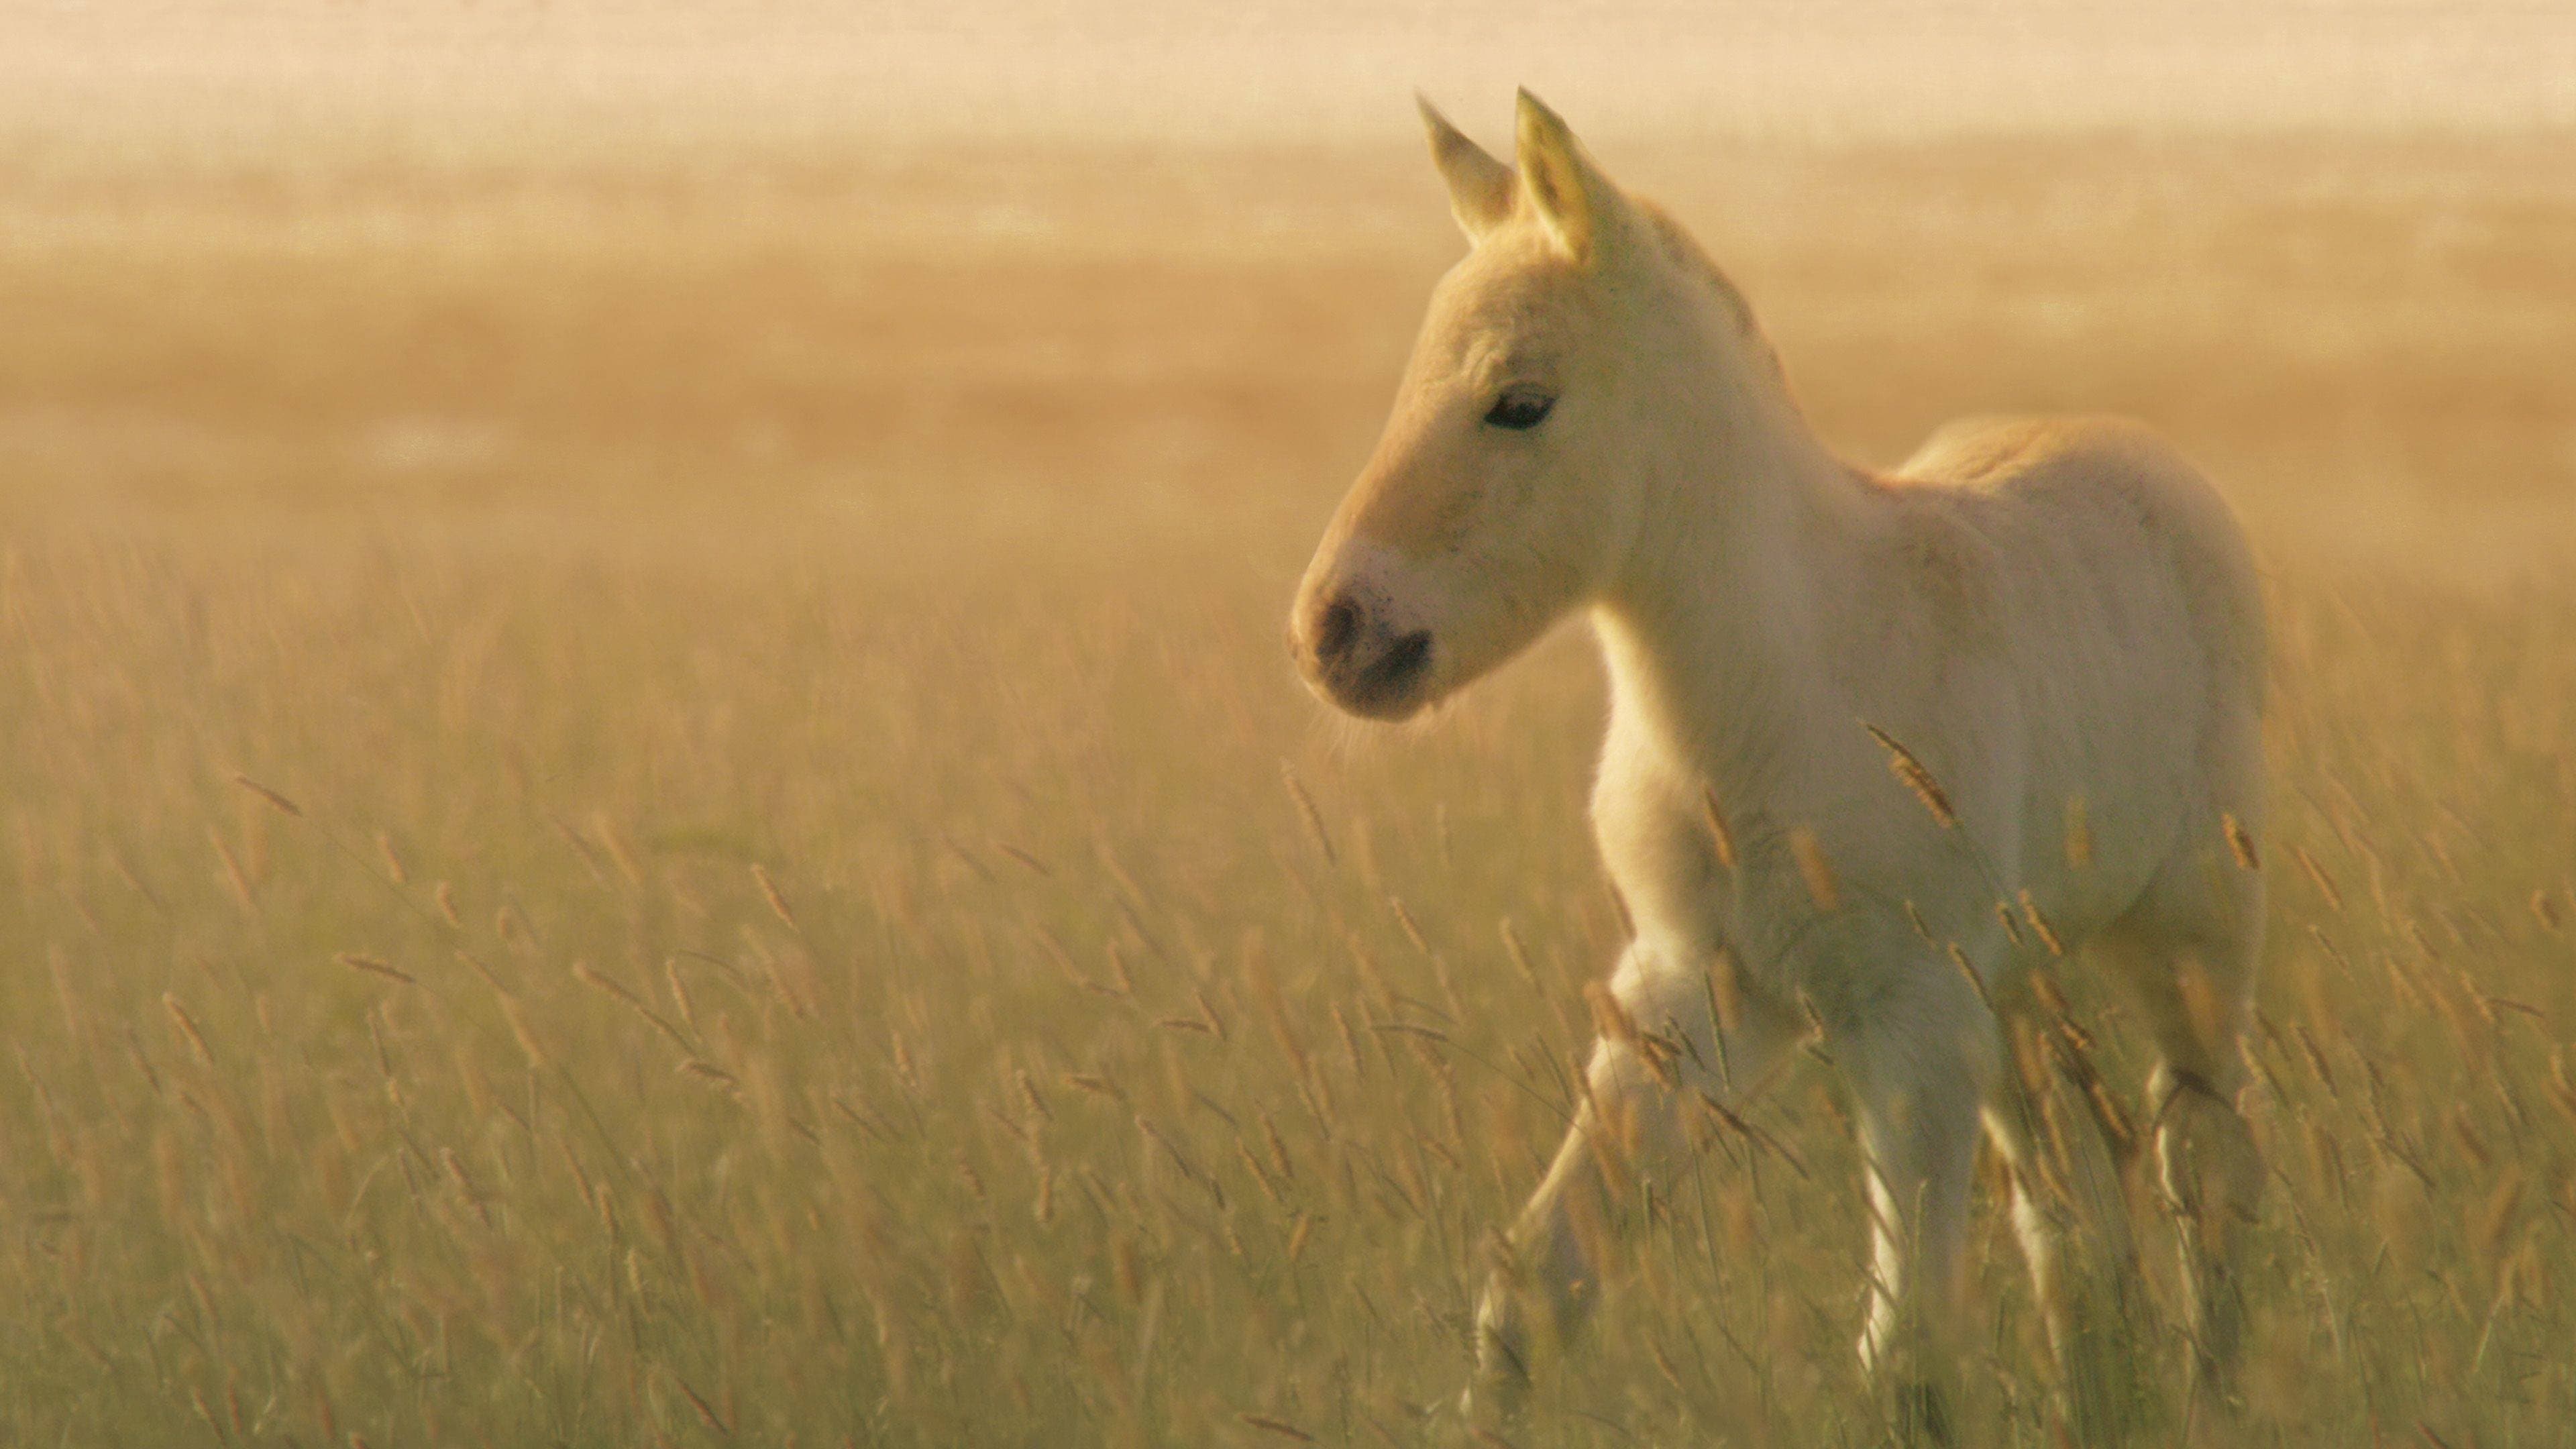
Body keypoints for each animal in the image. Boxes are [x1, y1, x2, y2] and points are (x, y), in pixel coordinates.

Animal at [1288, 91, 2268, 1443]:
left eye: (1520, 401)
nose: (1335, 632)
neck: (1781, 692)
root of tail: (2147, 457)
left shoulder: (1906, 1015)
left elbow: (1906, 1356)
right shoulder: (1691, 992)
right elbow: (1534, 1285)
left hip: (2187, 934)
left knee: (2204, 1157)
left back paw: (2210, 1390)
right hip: (2016, 986)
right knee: (2074, 1199)